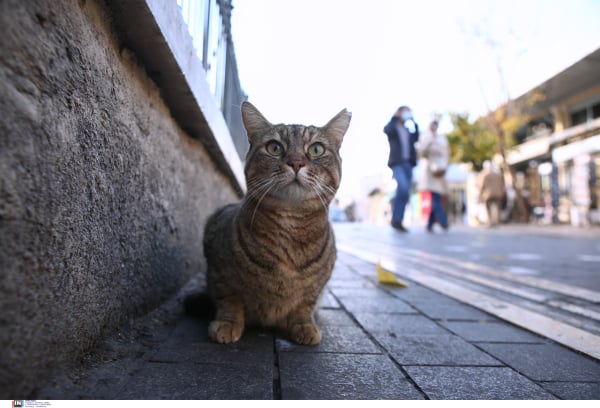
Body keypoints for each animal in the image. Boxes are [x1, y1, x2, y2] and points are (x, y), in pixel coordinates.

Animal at [203, 102, 352, 344]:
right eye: (274, 148)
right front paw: (228, 323)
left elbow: (305, 303)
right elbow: (230, 299)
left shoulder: (318, 286)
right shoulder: (218, 267)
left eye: (316, 149)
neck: (290, 228)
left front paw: (304, 324)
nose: (296, 162)